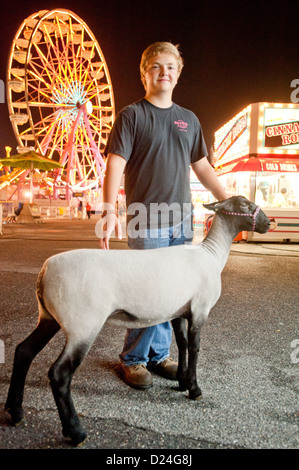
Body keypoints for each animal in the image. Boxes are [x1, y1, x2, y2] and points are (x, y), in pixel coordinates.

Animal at [4, 195, 272, 444]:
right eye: (245, 205)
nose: (269, 222)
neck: (211, 254)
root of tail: (44, 272)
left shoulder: (179, 311)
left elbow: (182, 343)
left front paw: (182, 381)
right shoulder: (200, 309)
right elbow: (195, 348)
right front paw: (195, 390)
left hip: (49, 317)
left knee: (23, 351)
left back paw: (14, 411)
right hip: (83, 325)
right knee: (59, 373)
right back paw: (75, 431)